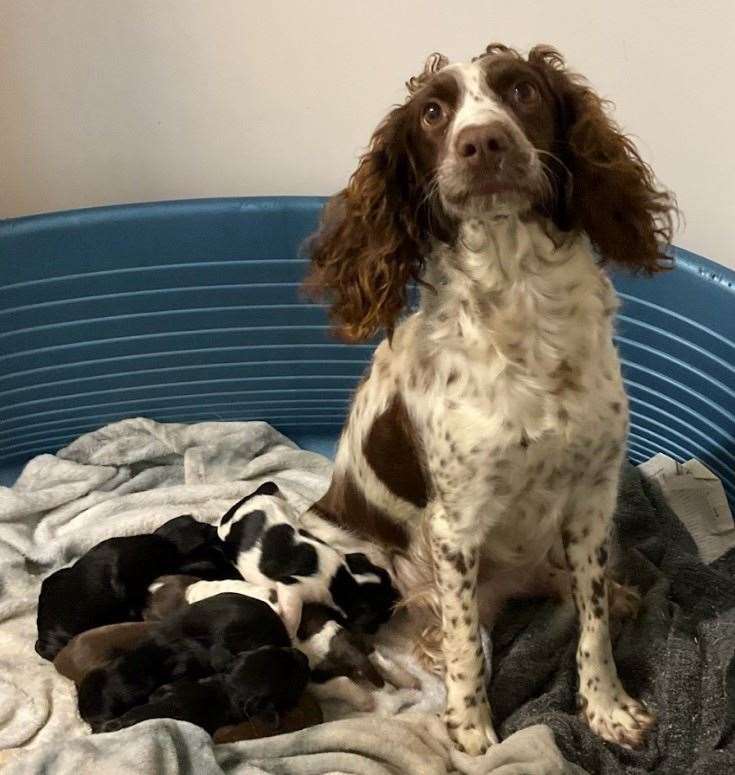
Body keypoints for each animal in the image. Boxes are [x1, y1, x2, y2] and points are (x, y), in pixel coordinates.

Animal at [217, 482, 400, 640]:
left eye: (387, 577)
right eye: (384, 612)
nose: (398, 595)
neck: (341, 577)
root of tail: (253, 497)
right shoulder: (291, 587)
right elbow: (293, 616)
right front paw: (289, 632)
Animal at [304, 45, 680, 756]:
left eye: (523, 91)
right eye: (432, 112)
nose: (482, 142)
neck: (523, 302)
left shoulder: (592, 500)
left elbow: (591, 624)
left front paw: (607, 707)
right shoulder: (456, 529)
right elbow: (463, 647)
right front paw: (471, 725)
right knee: (441, 625)